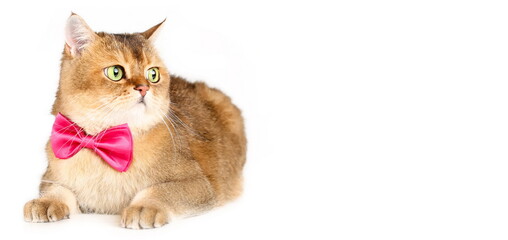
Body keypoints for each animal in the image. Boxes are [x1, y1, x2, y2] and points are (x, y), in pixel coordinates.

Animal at [23, 12, 246, 229]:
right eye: (115, 72)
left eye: (153, 74)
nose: (144, 87)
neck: (102, 142)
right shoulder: (50, 176)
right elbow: (56, 189)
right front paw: (45, 201)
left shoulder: (200, 183)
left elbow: (161, 191)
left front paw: (144, 207)